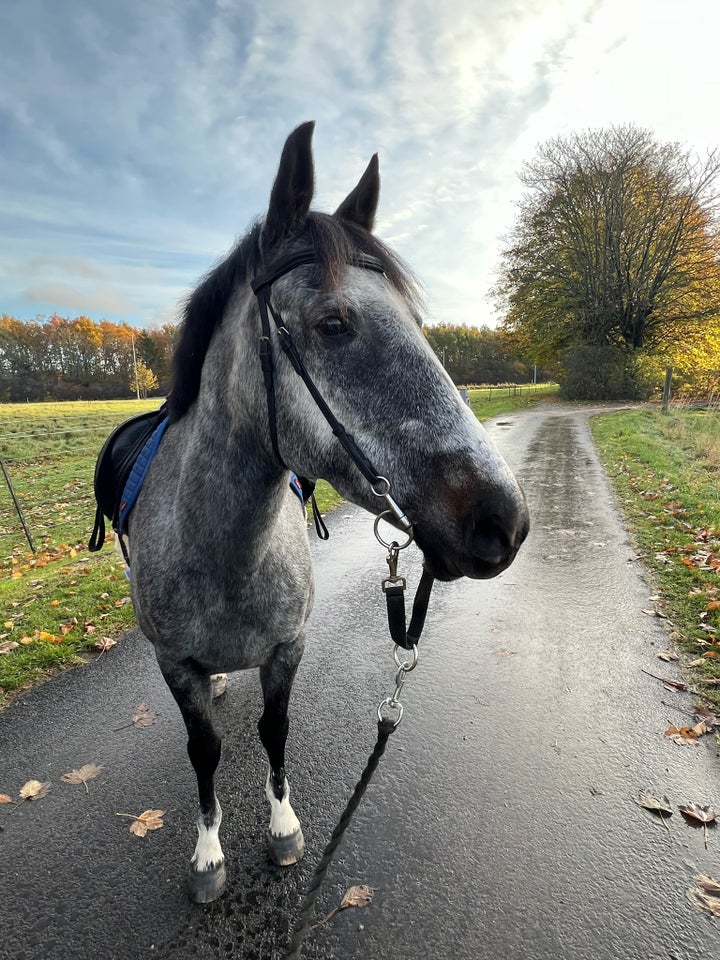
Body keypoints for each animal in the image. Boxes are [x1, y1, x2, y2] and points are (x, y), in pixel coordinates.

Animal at [125, 122, 528, 900]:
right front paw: (209, 852)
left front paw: (282, 827)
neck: (226, 559)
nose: (505, 521)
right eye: (333, 323)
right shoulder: (174, 665)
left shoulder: (289, 651)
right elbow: (204, 753)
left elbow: (274, 734)